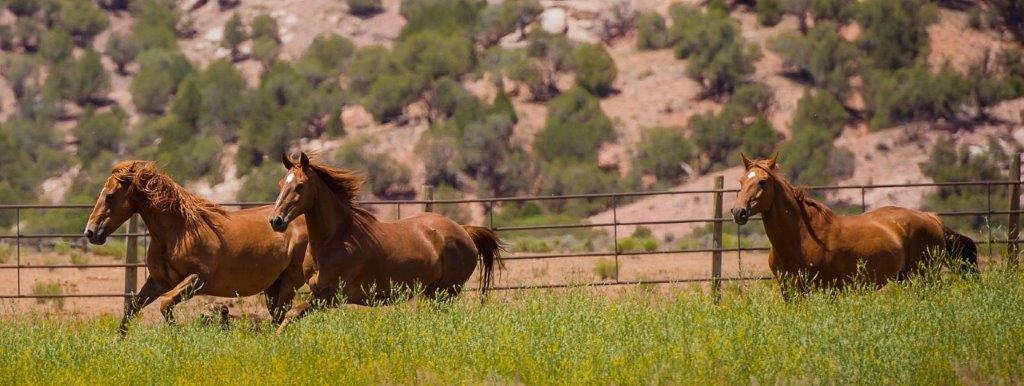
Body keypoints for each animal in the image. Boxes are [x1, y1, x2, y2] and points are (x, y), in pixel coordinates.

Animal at [84, 159, 307, 333]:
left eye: (109, 195)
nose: (90, 232)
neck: (178, 232)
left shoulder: (198, 280)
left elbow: (165, 304)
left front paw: (177, 335)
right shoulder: (158, 282)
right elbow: (132, 308)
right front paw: (118, 342)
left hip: (290, 282)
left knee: (283, 315)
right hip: (272, 287)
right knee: (278, 317)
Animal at [266, 151, 501, 331]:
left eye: (300, 185)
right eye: (281, 183)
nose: (275, 220)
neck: (336, 239)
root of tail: (464, 231)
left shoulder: (329, 295)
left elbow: (292, 313)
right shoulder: (319, 293)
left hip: (446, 291)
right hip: (433, 292)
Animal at [729, 151, 974, 292]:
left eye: (762, 182)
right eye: (740, 181)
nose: (738, 212)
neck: (801, 238)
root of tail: (931, 217)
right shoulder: (790, 292)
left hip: (925, 277)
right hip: (905, 277)